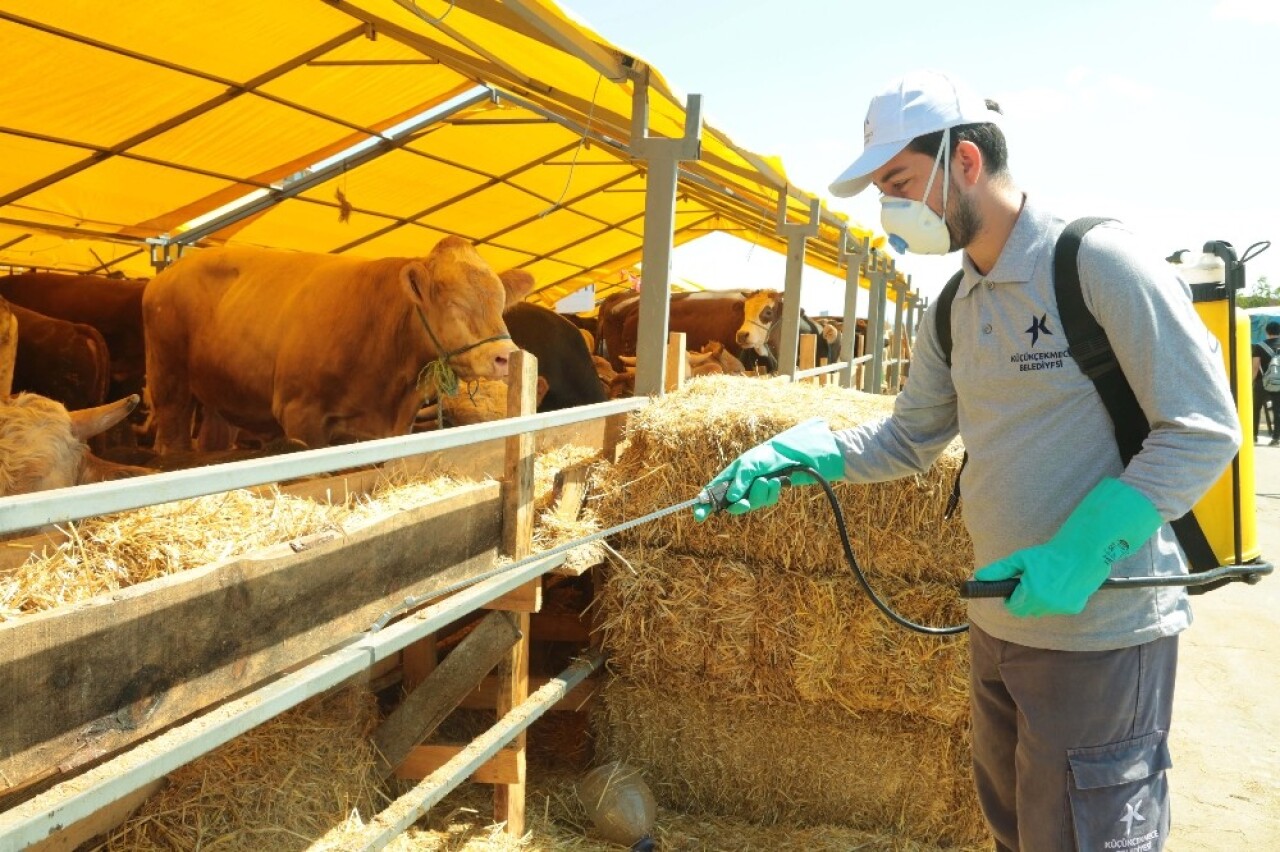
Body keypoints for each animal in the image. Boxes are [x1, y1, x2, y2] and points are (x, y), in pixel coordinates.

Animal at [146, 235, 529, 455]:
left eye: (500, 304)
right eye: (454, 303)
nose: (505, 357)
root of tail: (168, 272)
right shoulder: (301, 417)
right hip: (168, 385)